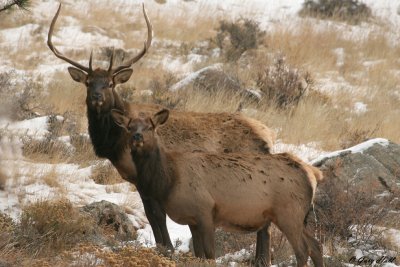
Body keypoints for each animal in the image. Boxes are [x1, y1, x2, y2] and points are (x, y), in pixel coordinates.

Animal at [110, 109, 324, 267]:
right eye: (129, 127)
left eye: (150, 127)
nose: (137, 136)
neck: (169, 181)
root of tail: (312, 174)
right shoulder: (193, 220)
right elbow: (198, 255)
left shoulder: (206, 211)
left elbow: (210, 254)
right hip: (299, 216)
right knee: (316, 246)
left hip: (288, 213)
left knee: (302, 250)